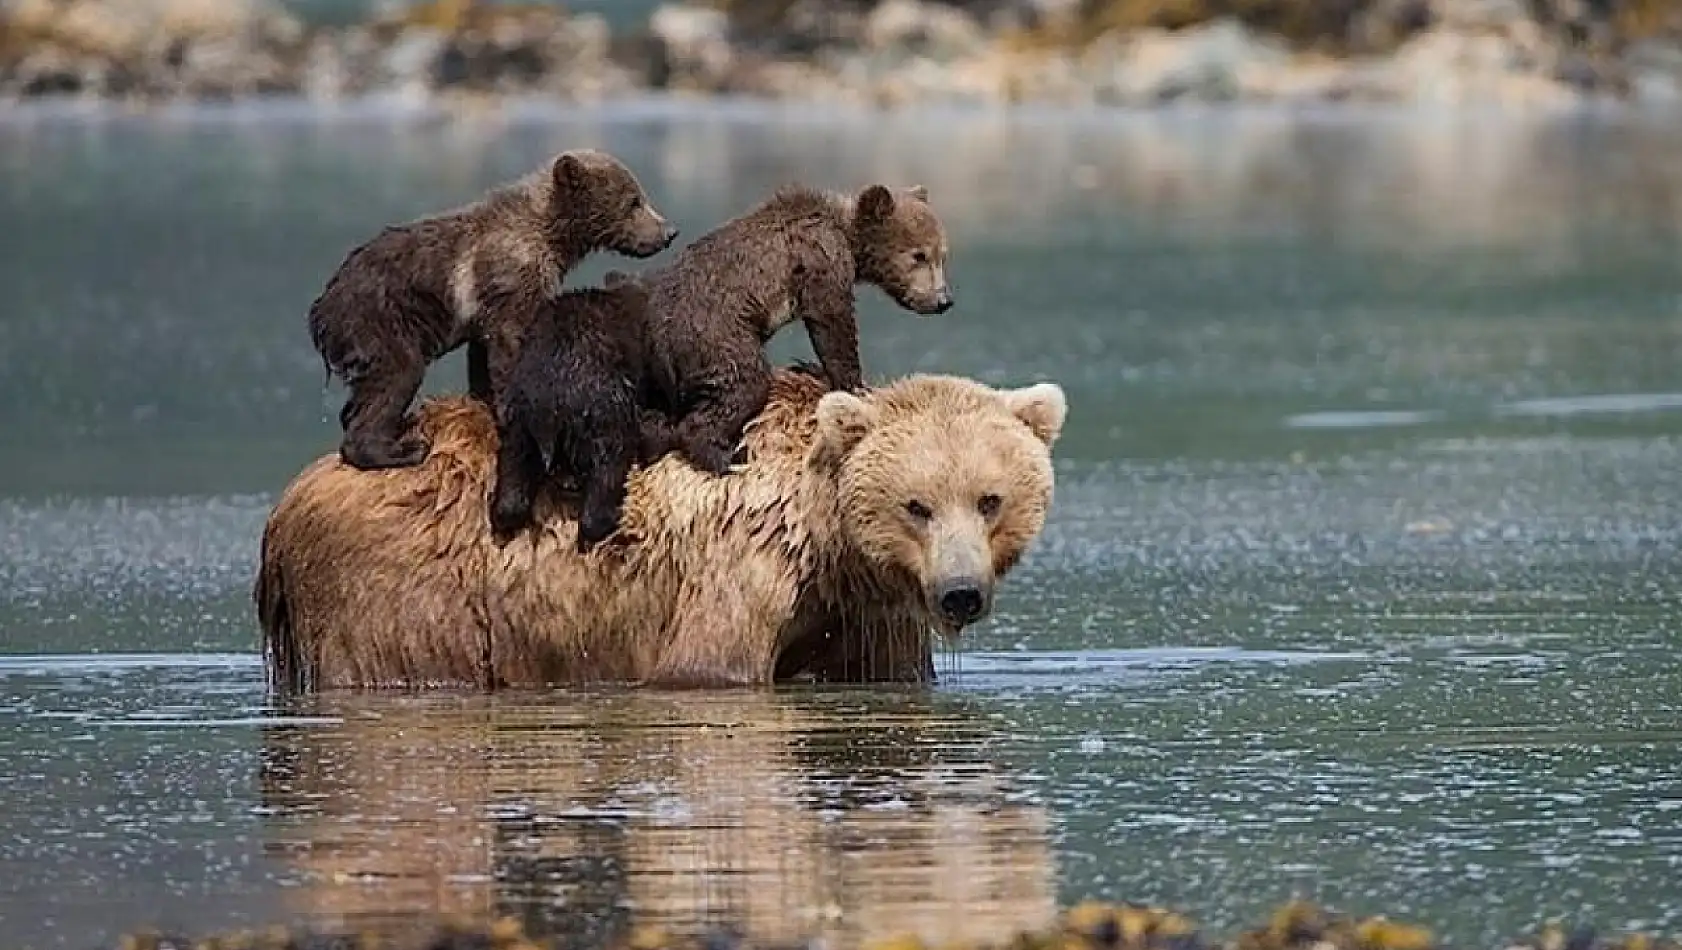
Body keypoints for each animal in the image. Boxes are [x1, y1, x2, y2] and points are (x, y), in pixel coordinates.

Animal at [252, 364, 1063, 689]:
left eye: (989, 499)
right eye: (915, 504)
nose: (960, 593)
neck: (826, 542)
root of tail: (287, 504)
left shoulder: (864, 613)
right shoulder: (743, 566)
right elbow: (708, 666)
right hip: (403, 590)